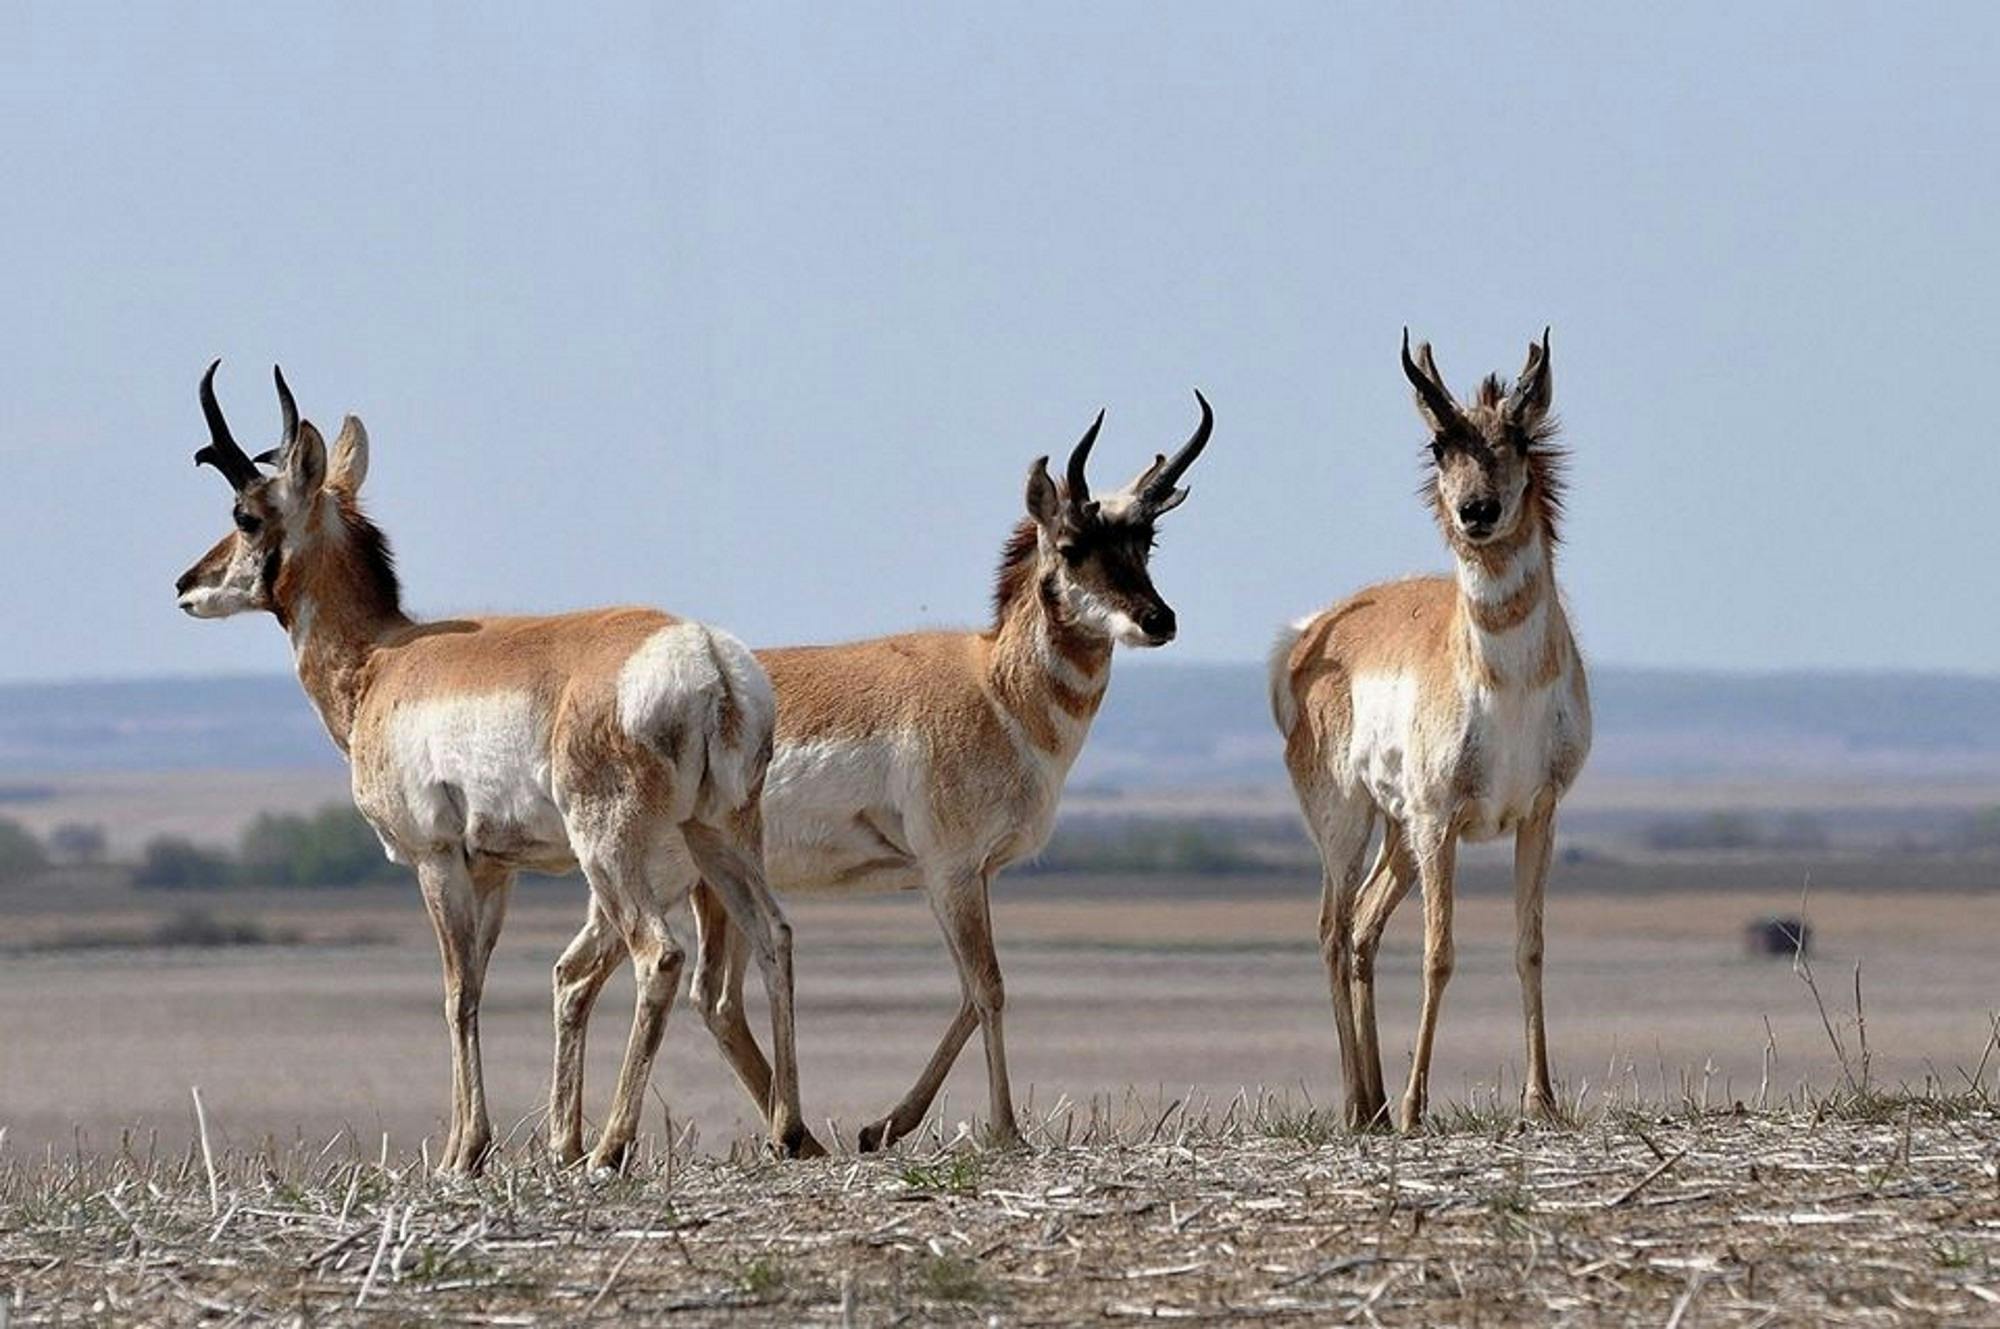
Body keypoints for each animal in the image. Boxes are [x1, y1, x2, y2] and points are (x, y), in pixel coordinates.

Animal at [174, 363, 818, 1172]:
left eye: (247, 513)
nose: (184, 584)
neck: (384, 658)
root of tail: (704, 654)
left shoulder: (437, 858)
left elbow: (457, 992)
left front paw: (462, 1153)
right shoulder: (495, 871)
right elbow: (477, 983)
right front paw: (474, 1146)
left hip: (611, 852)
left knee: (660, 954)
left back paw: (610, 1146)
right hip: (720, 836)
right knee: (775, 935)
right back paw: (786, 1129)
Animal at [551, 395, 1213, 1152]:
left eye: (1146, 543)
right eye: (1072, 546)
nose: (1159, 619)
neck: (993, 685)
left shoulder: (965, 875)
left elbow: (968, 992)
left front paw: (882, 1126)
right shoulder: (951, 871)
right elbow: (989, 986)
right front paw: (1005, 1129)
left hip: (706, 886)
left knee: (695, 995)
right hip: (654, 878)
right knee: (600, 975)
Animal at [1270, 331, 1590, 1132]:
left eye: (1518, 436)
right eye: (1441, 443)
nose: (1477, 510)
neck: (1506, 685)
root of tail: (1311, 632)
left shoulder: (1538, 813)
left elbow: (1529, 947)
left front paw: (1541, 1099)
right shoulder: (1443, 819)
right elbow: (1439, 954)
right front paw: (1420, 1103)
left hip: (1398, 834)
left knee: (1362, 929)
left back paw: (1377, 1102)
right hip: (1350, 824)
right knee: (1332, 929)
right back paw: (1363, 1104)